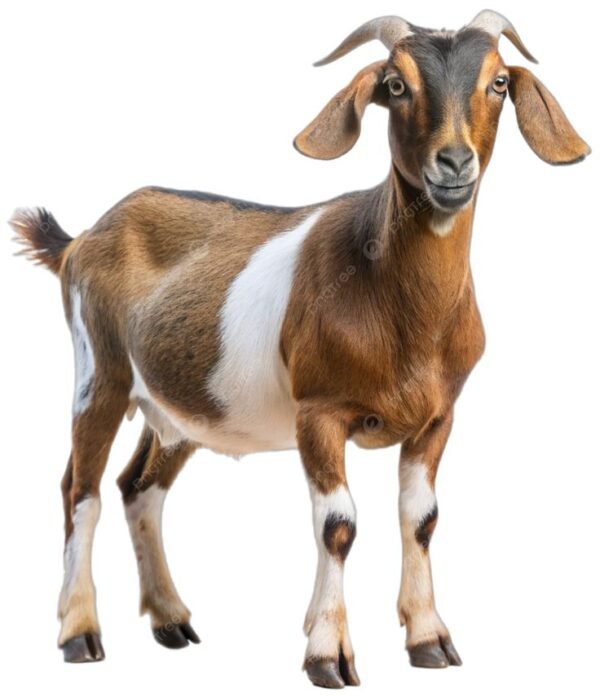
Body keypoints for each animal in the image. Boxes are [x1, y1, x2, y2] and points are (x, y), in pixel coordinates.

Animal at [11, 9, 589, 687]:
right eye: (395, 84)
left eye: (499, 82)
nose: (453, 163)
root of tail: (80, 239)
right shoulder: (320, 414)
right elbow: (337, 525)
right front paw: (328, 655)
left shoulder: (438, 417)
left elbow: (420, 518)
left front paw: (429, 640)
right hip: (96, 374)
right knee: (81, 490)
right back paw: (80, 633)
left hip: (178, 412)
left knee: (139, 488)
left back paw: (171, 620)